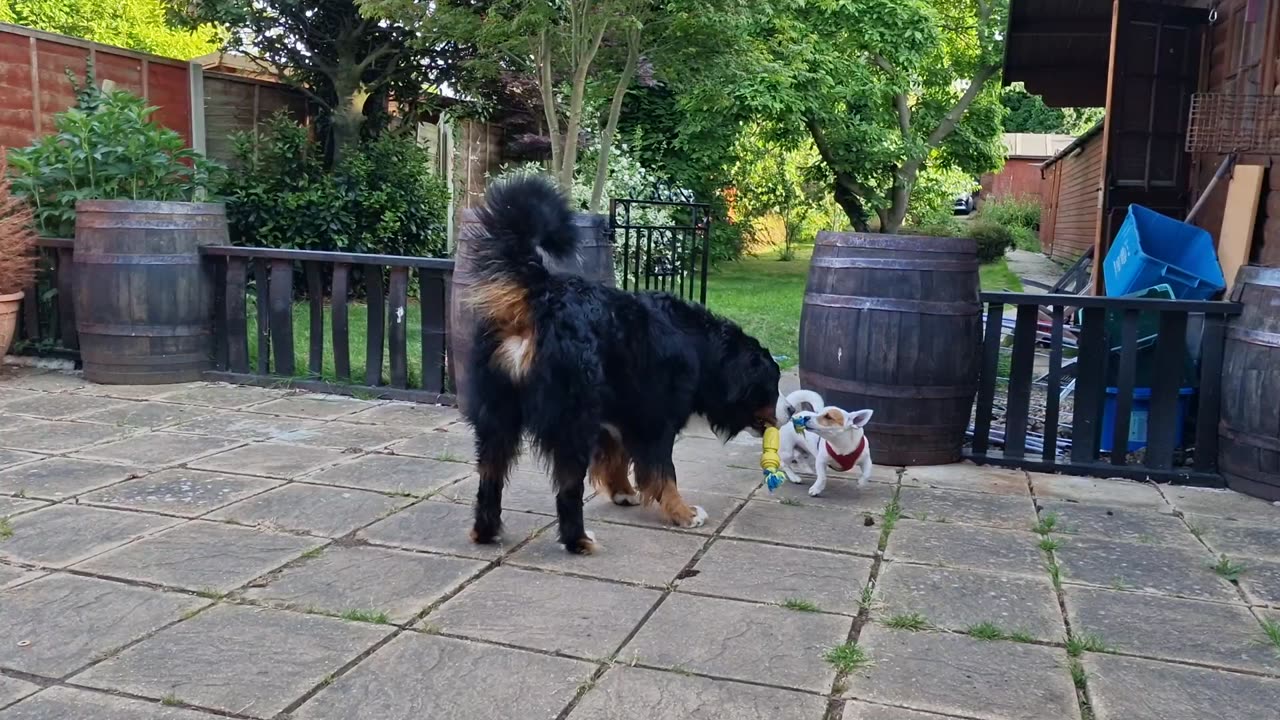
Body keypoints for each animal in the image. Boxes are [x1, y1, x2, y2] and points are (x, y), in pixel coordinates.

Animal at [460, 176, 778, 550]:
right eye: (771, 391)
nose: (783, 417)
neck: (700, 346)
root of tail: (542, 295)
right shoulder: (655, 421)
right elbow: (662, 472)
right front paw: (683, 513)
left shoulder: (622, 413)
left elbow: (617, 457)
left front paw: (623, 492)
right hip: (572, 420)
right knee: (568, 488)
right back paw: (579, 541)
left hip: (497, 414)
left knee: (489, 478)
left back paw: (486, 531)